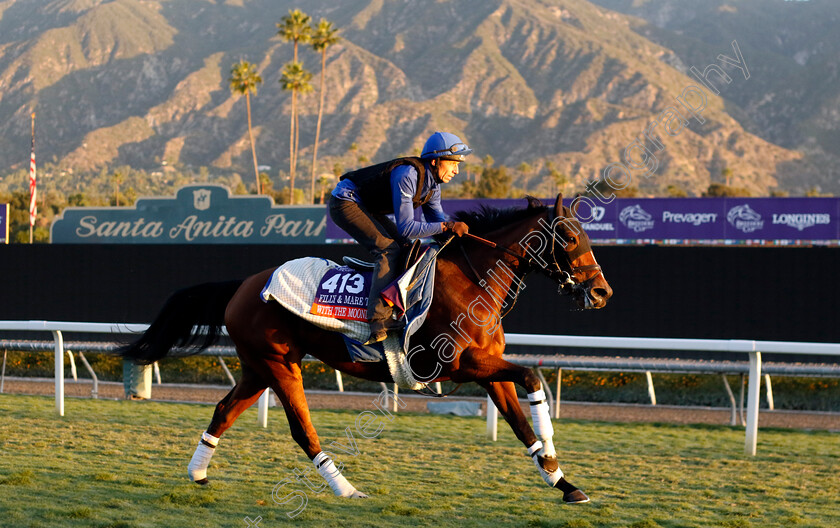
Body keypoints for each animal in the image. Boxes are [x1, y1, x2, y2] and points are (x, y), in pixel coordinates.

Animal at [120, 194, 612, 504]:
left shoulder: (486, 369)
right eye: (570, 238)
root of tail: (243, 285)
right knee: (303, 430)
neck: (472, 282)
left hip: (258, 366)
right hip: (280, 364)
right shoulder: (457, 364)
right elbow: (529, 377)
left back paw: (198, 472)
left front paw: (562, 480)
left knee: (223, 411)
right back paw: (345, 489)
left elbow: (521, 423)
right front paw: (552, 450)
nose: (601, 292)